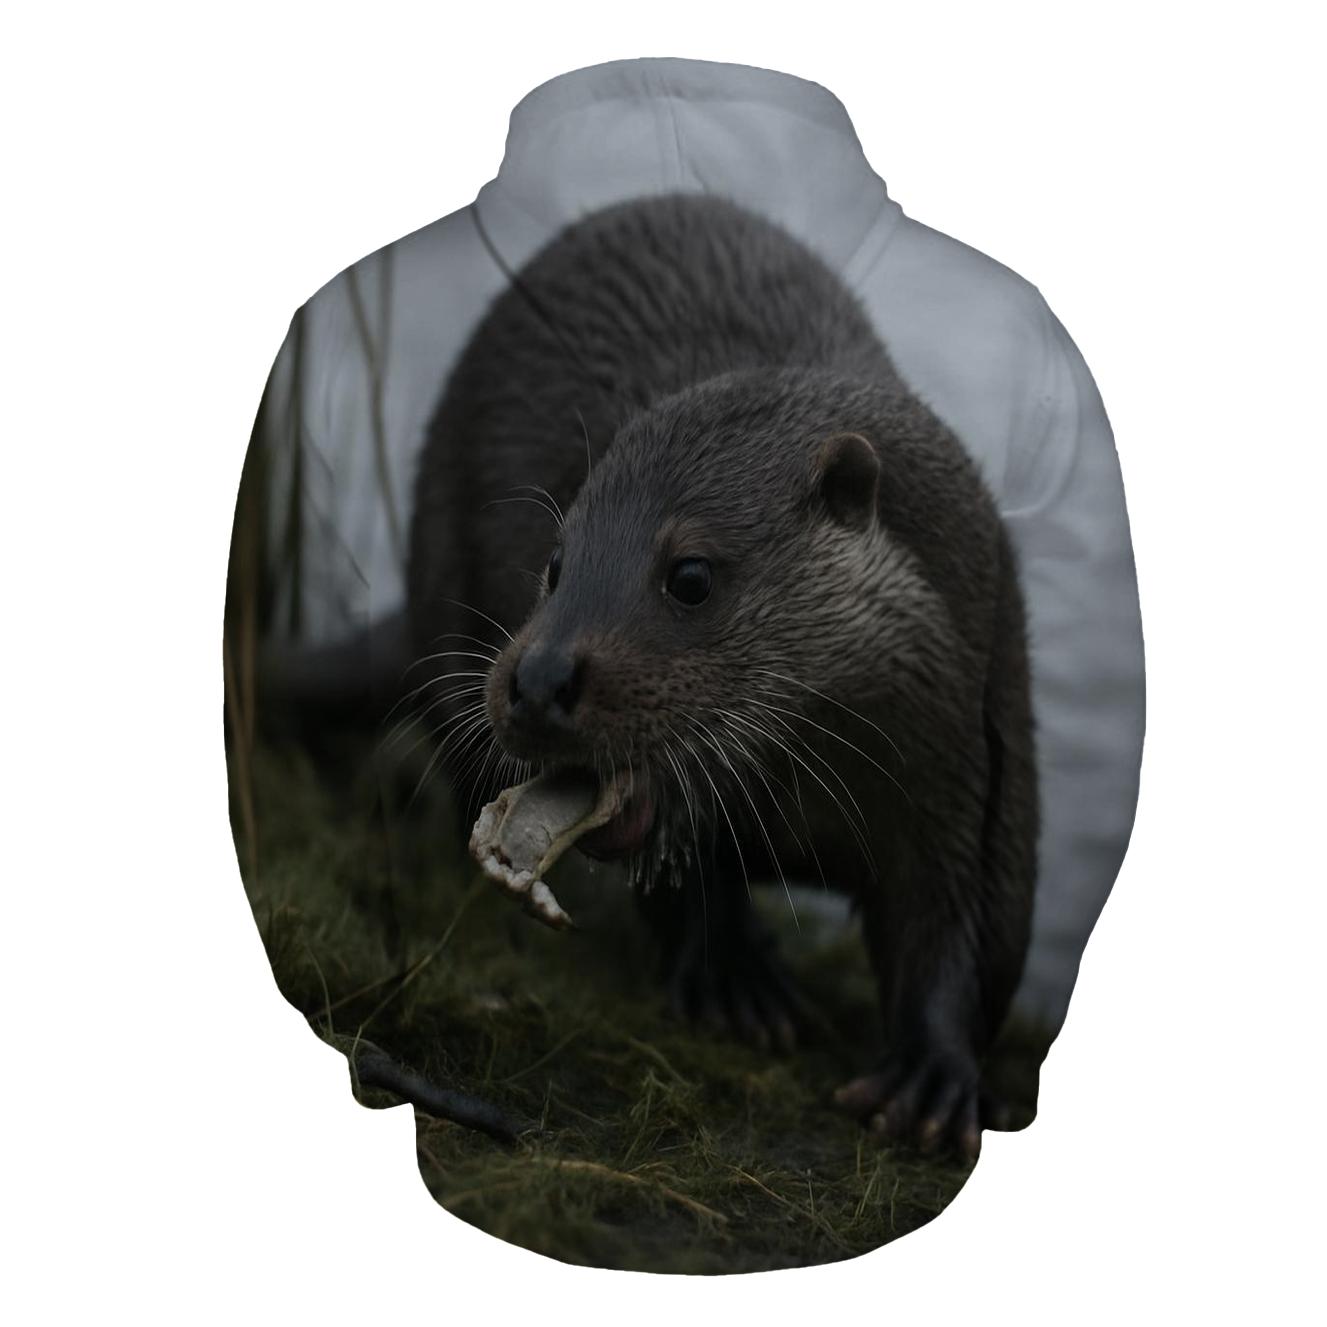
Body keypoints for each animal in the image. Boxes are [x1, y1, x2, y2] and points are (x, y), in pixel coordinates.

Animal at [407, 195, 1037, 1158]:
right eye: (554, 564)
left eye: (691, 575)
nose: (539, 677)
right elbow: (688, 874)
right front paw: (739, 979)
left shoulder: (977, 746)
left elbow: (962, 919)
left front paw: (933, 1075)